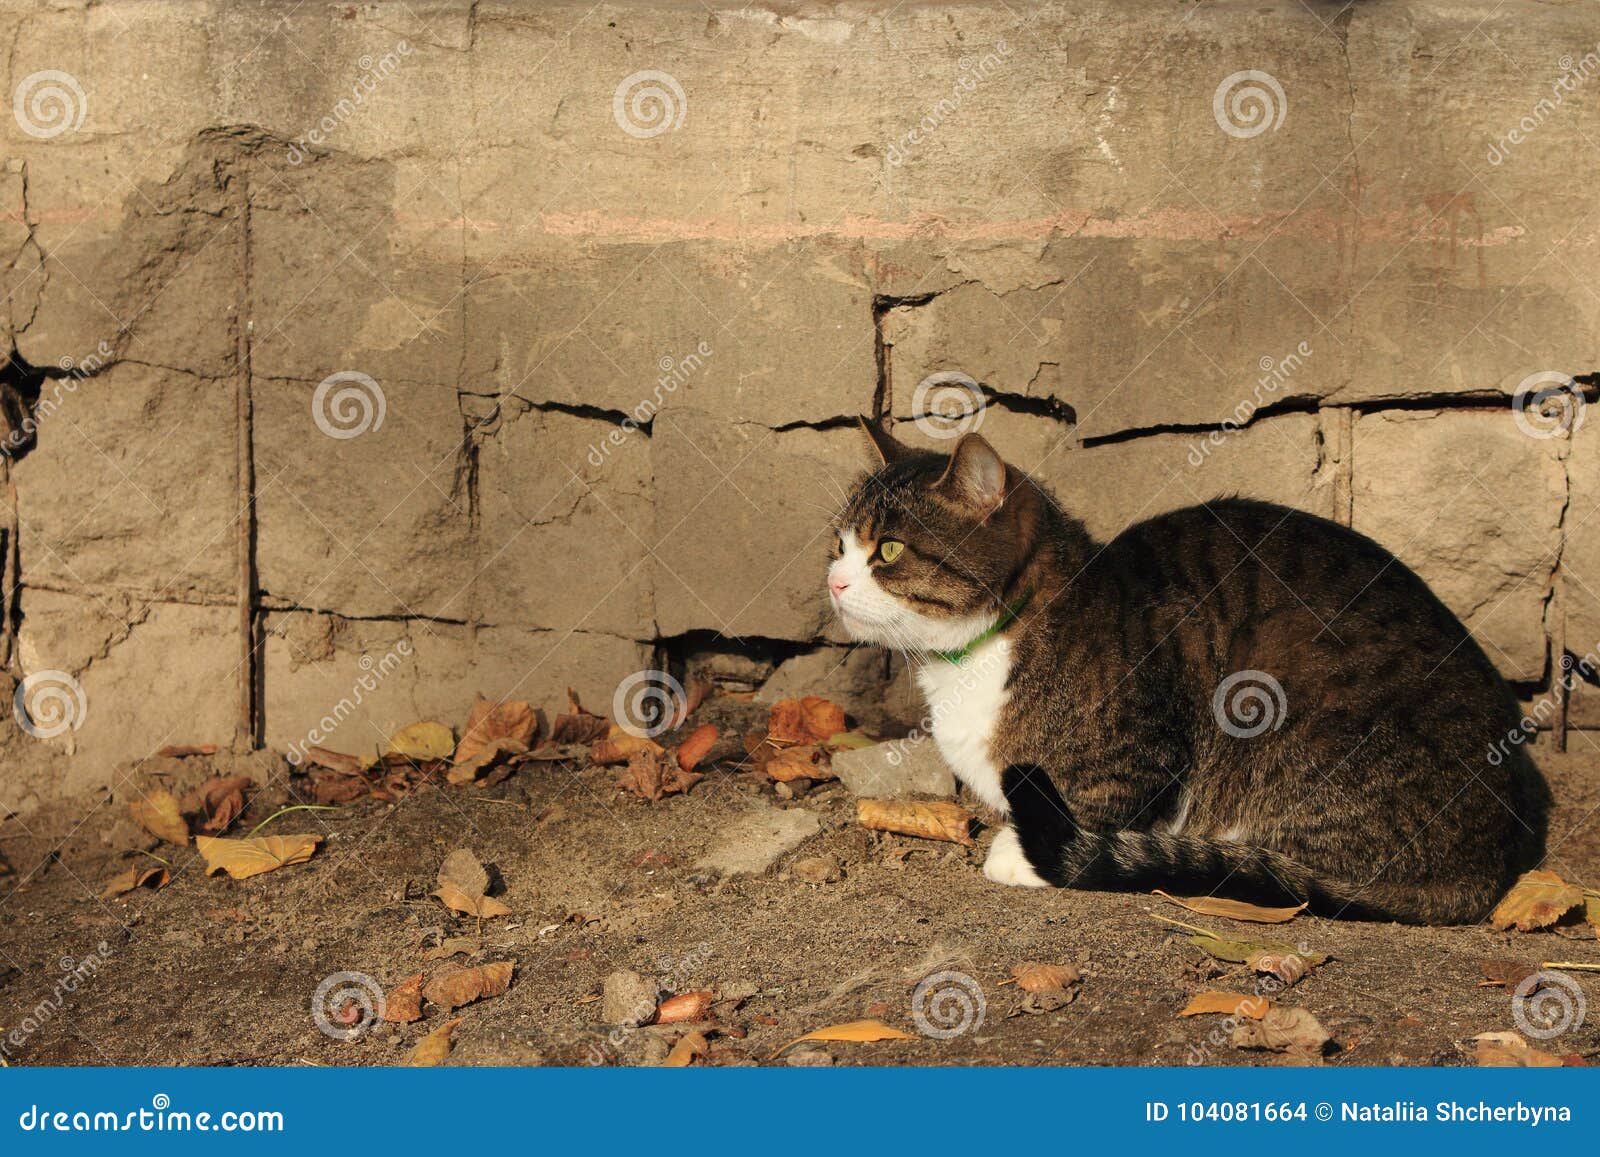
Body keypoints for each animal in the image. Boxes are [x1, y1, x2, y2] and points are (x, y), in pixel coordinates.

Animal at [832, 422, 1542, 921]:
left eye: (888, 550)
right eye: (840, 544)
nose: (834, 581)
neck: (979, 652)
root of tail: (1487, 868)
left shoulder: (1142, 751)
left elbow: (1097, 805)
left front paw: (1023, 855)